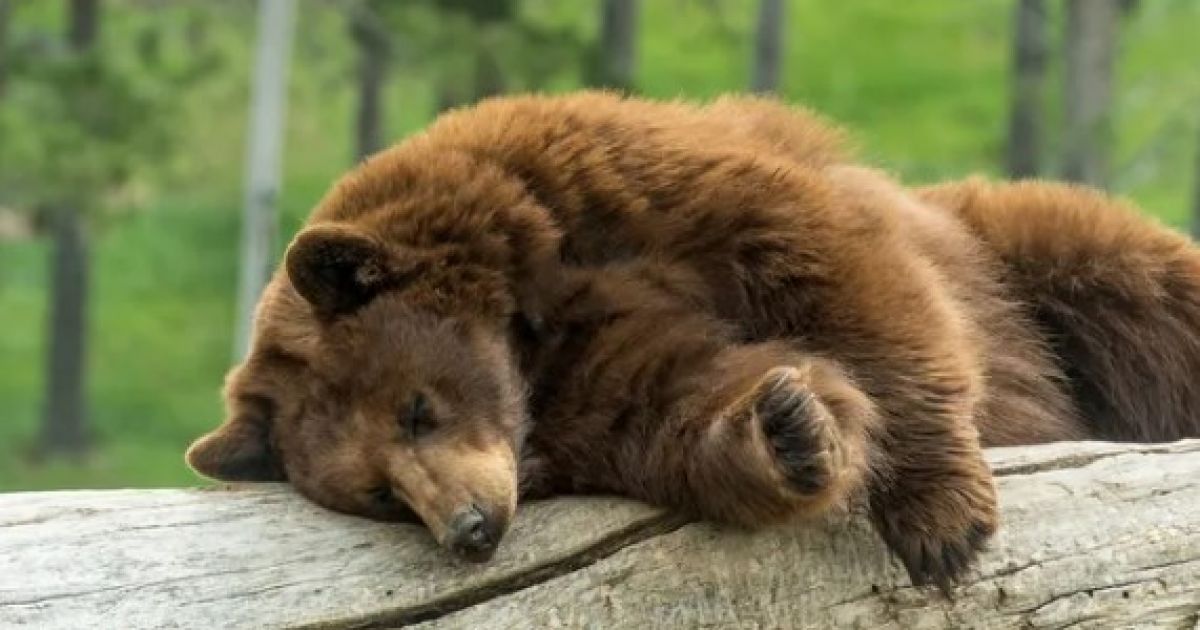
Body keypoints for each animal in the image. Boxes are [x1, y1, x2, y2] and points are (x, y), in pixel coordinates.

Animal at [185, 91, 1200, 592]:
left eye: (416, 408)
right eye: (379, 496)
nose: (470, 528)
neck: (529, 328)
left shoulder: (622, 189)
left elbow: (836, 269)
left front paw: (942, 524)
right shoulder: (586, 386)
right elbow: (682, 402)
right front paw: (792, 427)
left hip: (1019, 258)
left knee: (1133, 283)